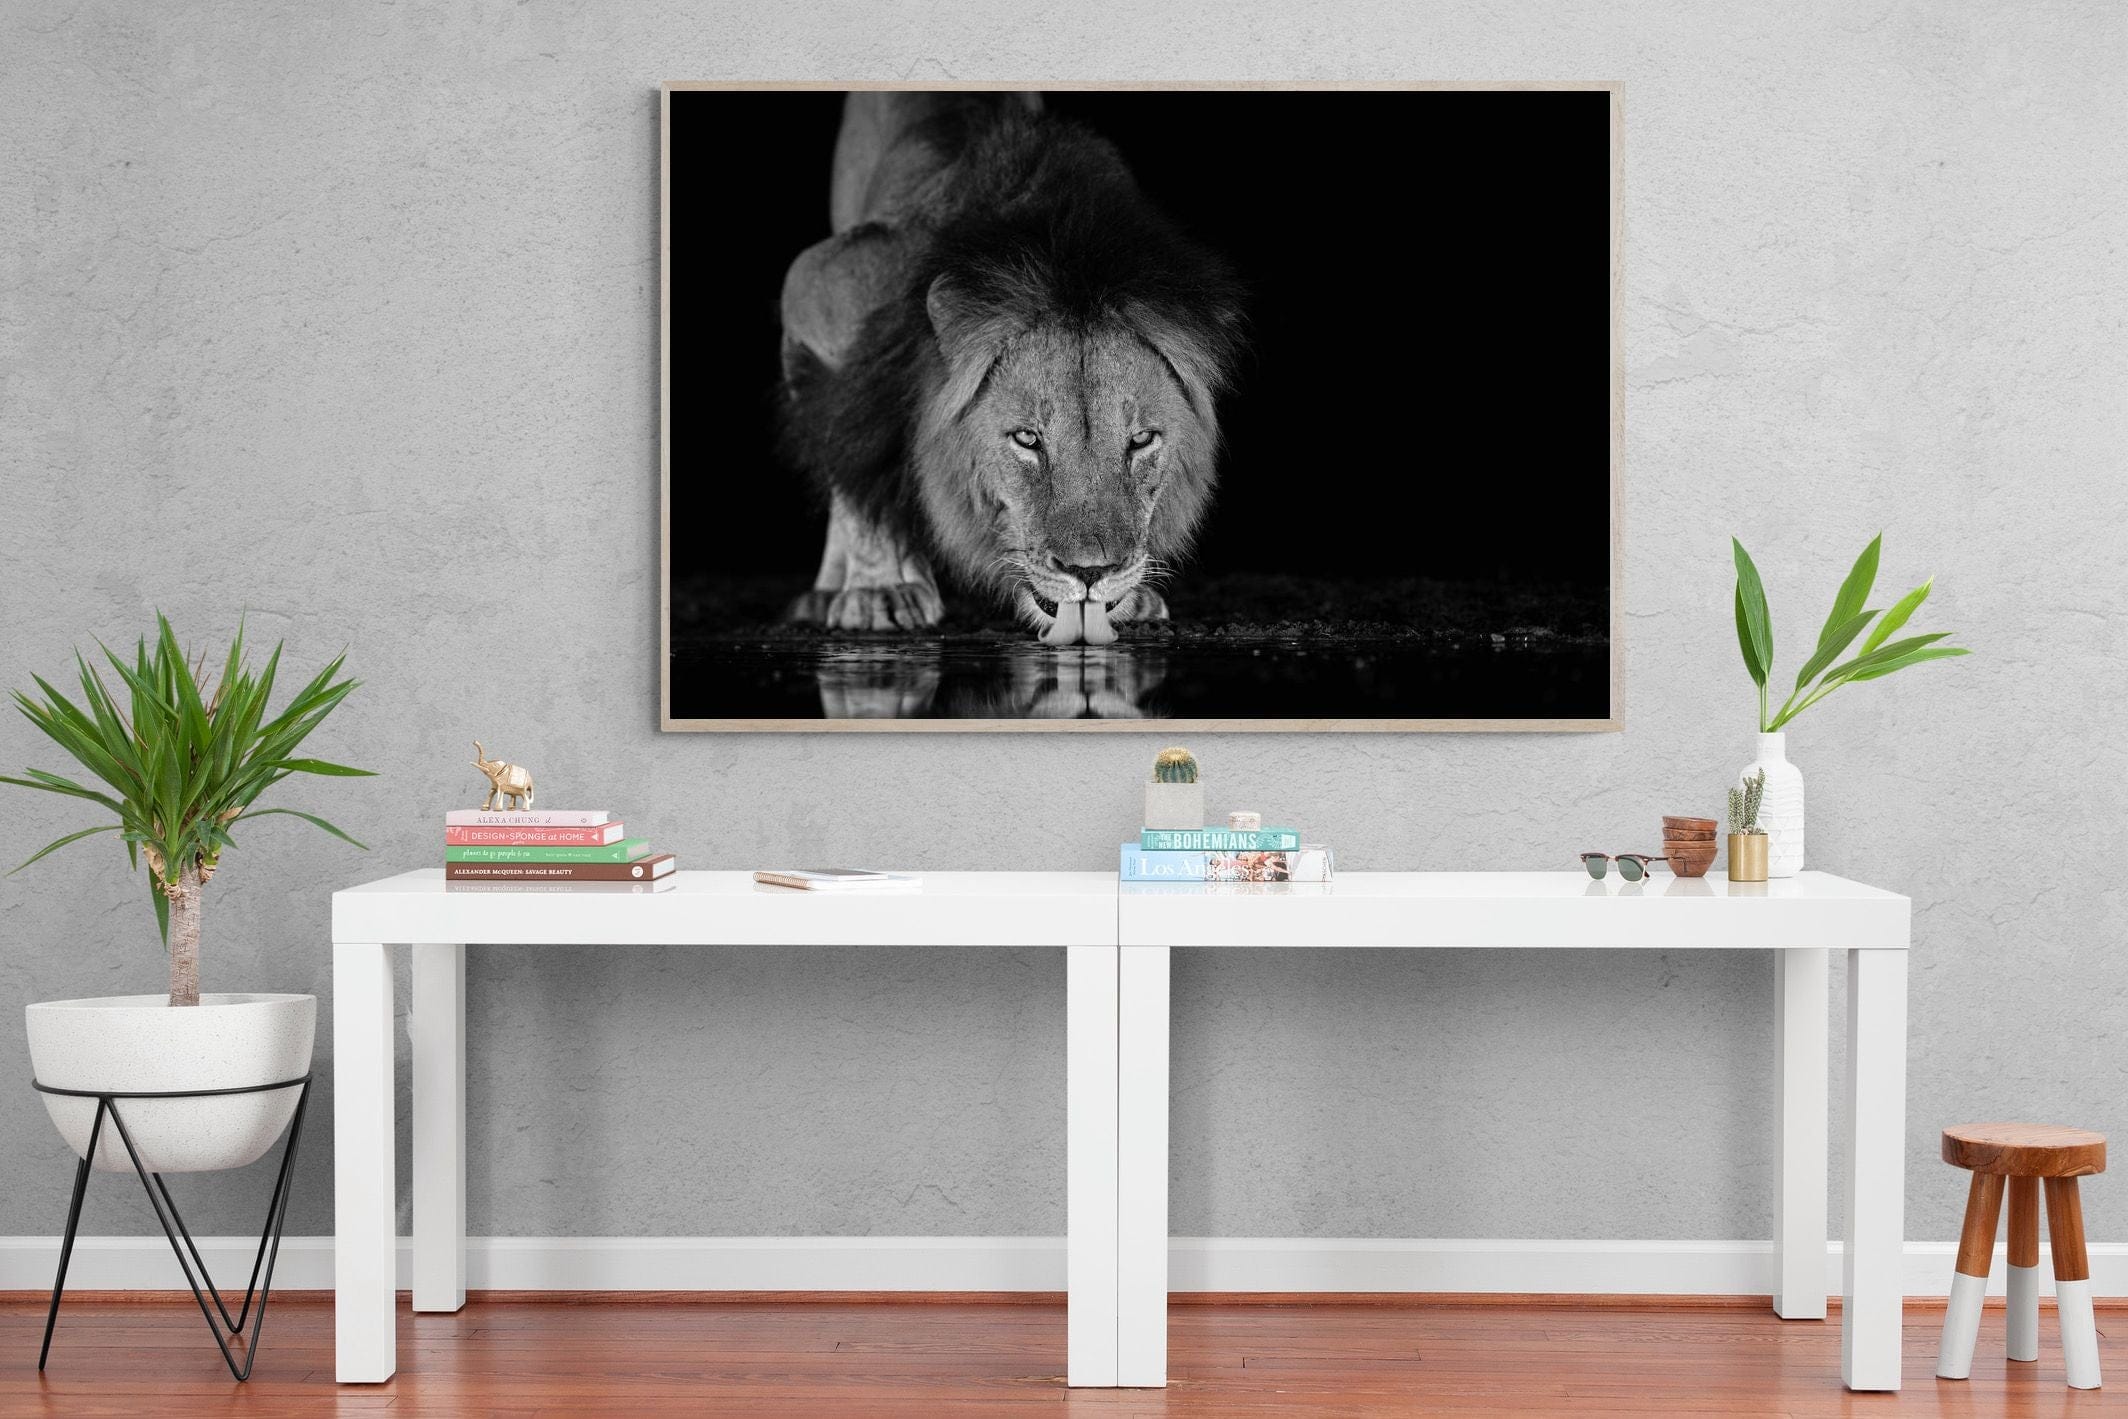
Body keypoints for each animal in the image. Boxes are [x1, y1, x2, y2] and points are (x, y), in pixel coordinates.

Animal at [775, 92, 1245, 646]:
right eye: (1027, 439)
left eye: (1141, 440)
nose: (1091, 572)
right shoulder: (818, 288)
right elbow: (855, 450)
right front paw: (878, 590)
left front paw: (1135, 597)